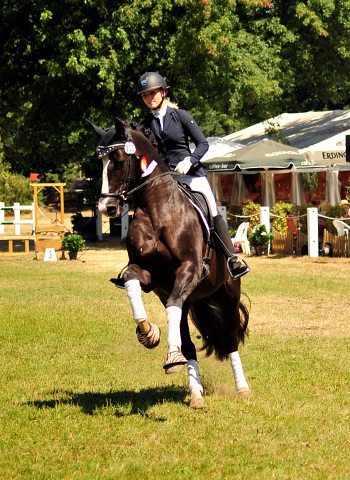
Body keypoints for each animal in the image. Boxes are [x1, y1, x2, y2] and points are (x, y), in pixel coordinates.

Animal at [88, 117, 252, 408]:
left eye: (118, 160)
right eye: (98, 165)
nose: (107, 208)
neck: (157, 210)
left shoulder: (190, 269)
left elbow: (175, 302)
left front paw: (170, 354)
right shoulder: (151, 276)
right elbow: (131, 281)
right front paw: (148, 332)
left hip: (227, 296)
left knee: (231, 337)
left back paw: (241, 388)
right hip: (191, 300)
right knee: (188, 341)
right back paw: (195, 393)